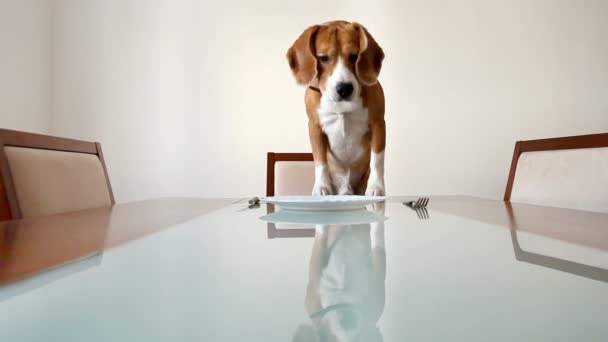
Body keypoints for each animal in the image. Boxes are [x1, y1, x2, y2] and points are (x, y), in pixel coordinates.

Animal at [286, 21, 384, 196]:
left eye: (354, 56)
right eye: (323, 58)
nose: (344, 88)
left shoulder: (378, 124)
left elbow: (377, 160)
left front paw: (376, 187)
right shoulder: (314, 127)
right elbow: (320, 160)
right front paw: (321, 187)